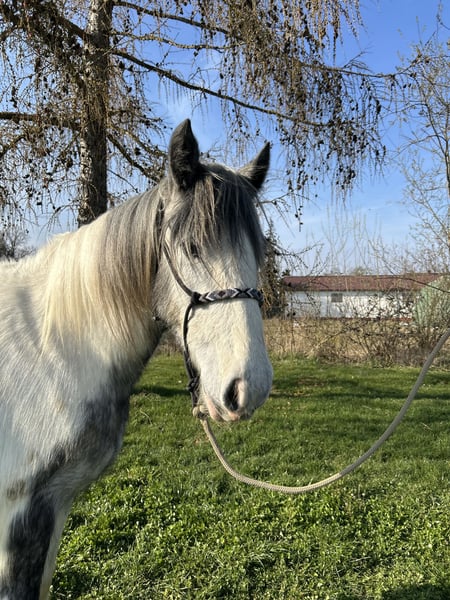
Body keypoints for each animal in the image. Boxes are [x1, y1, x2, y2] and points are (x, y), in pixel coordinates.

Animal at [0, 119, 273, 599]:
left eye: (256, 254)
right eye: (193, 248)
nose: (248, 388)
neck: (52, 353)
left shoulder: (53, 507)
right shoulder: (19, 512)